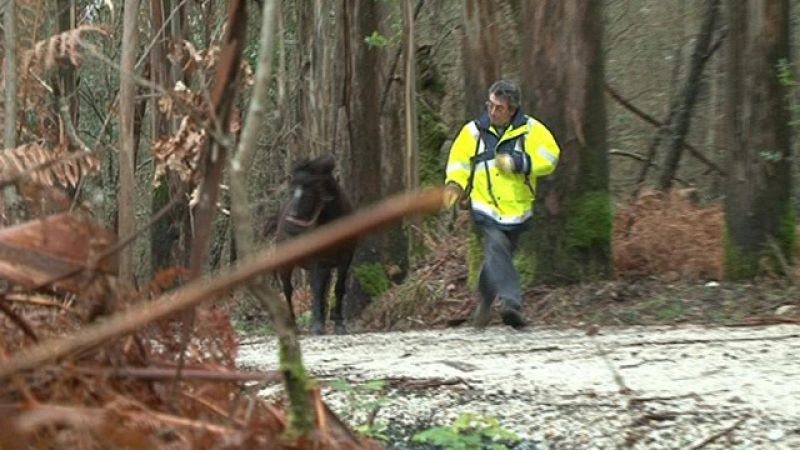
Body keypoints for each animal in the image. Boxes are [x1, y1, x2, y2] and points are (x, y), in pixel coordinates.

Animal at [276, 155, 354, 334]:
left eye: (310, 190)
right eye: (293, 189)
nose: (292, 219)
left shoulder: (345, 259)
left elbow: (338, 288)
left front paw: (339, 324)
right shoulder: (318, 260)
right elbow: (317, 290)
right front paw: (317, 325)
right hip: (286, 265)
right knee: (288, 290)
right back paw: (293, 325)